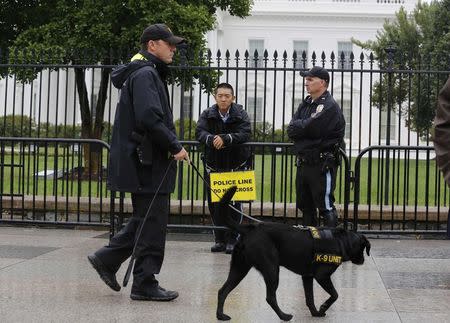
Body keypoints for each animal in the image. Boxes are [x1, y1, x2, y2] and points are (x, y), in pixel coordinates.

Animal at [88, 24, 188, 302]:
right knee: (149, 225)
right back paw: (147, 288)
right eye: (170, 42)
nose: (176, 49)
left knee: (136, 221)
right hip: (153, 191)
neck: (144, 63)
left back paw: (103, 265)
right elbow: (151, 115)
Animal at [217, 187, 370, 322]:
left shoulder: (307, 276)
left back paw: (221, 316)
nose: (363, 260)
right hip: (271, 269)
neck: (341, 241)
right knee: (270, 297)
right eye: (363, 248)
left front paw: (315, 313)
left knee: (222, 291)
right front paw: (323, 307)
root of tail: (249, 229)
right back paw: (284, 316)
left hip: (239, 268)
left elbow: (309, 298)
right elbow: (335, 294)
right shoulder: (322, 276)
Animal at [288, 66, 344, 228]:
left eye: (311, 78)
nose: (306, 82)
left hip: (322, 179)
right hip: (303, 184)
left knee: (327, 210)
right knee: (308, 208)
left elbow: (305, 124)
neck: (314, 101)